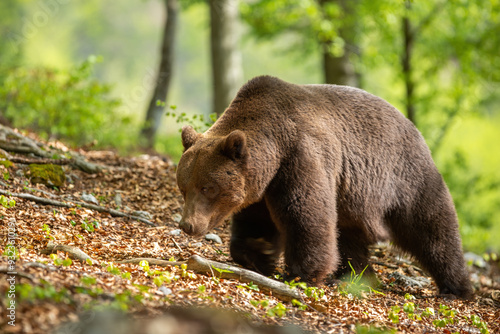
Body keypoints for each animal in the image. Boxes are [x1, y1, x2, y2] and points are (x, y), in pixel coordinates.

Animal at [176, 76, 472, 300]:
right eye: (184, 188)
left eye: (208, 188)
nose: (188, 225)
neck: (274, 145)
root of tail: (414, 128)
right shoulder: (263, 184)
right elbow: (257, 221)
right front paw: (259, 254)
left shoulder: (301, 157)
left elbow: (305, 215)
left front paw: (301, 273)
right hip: (353, 199)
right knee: (350, 235)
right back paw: (357, 276)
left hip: (404, 178)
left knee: (431, 227)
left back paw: (455, 288)